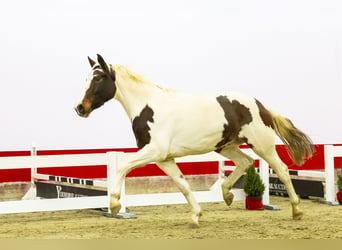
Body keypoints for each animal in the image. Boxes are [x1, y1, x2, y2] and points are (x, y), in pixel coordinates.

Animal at [75, 53, 316, 228]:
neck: (147, 106)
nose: (80, 108)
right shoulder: (164, 158)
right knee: (245, 162)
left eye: (98, 78)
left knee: (282, 169)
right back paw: (227, 194)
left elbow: (122, 166)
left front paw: (115, 205)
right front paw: (196, 216)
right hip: (225, 147)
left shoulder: (155, 151)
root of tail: (260, 105)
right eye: (86, 79)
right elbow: (183, 184)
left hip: (262, 145)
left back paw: (297, 211)